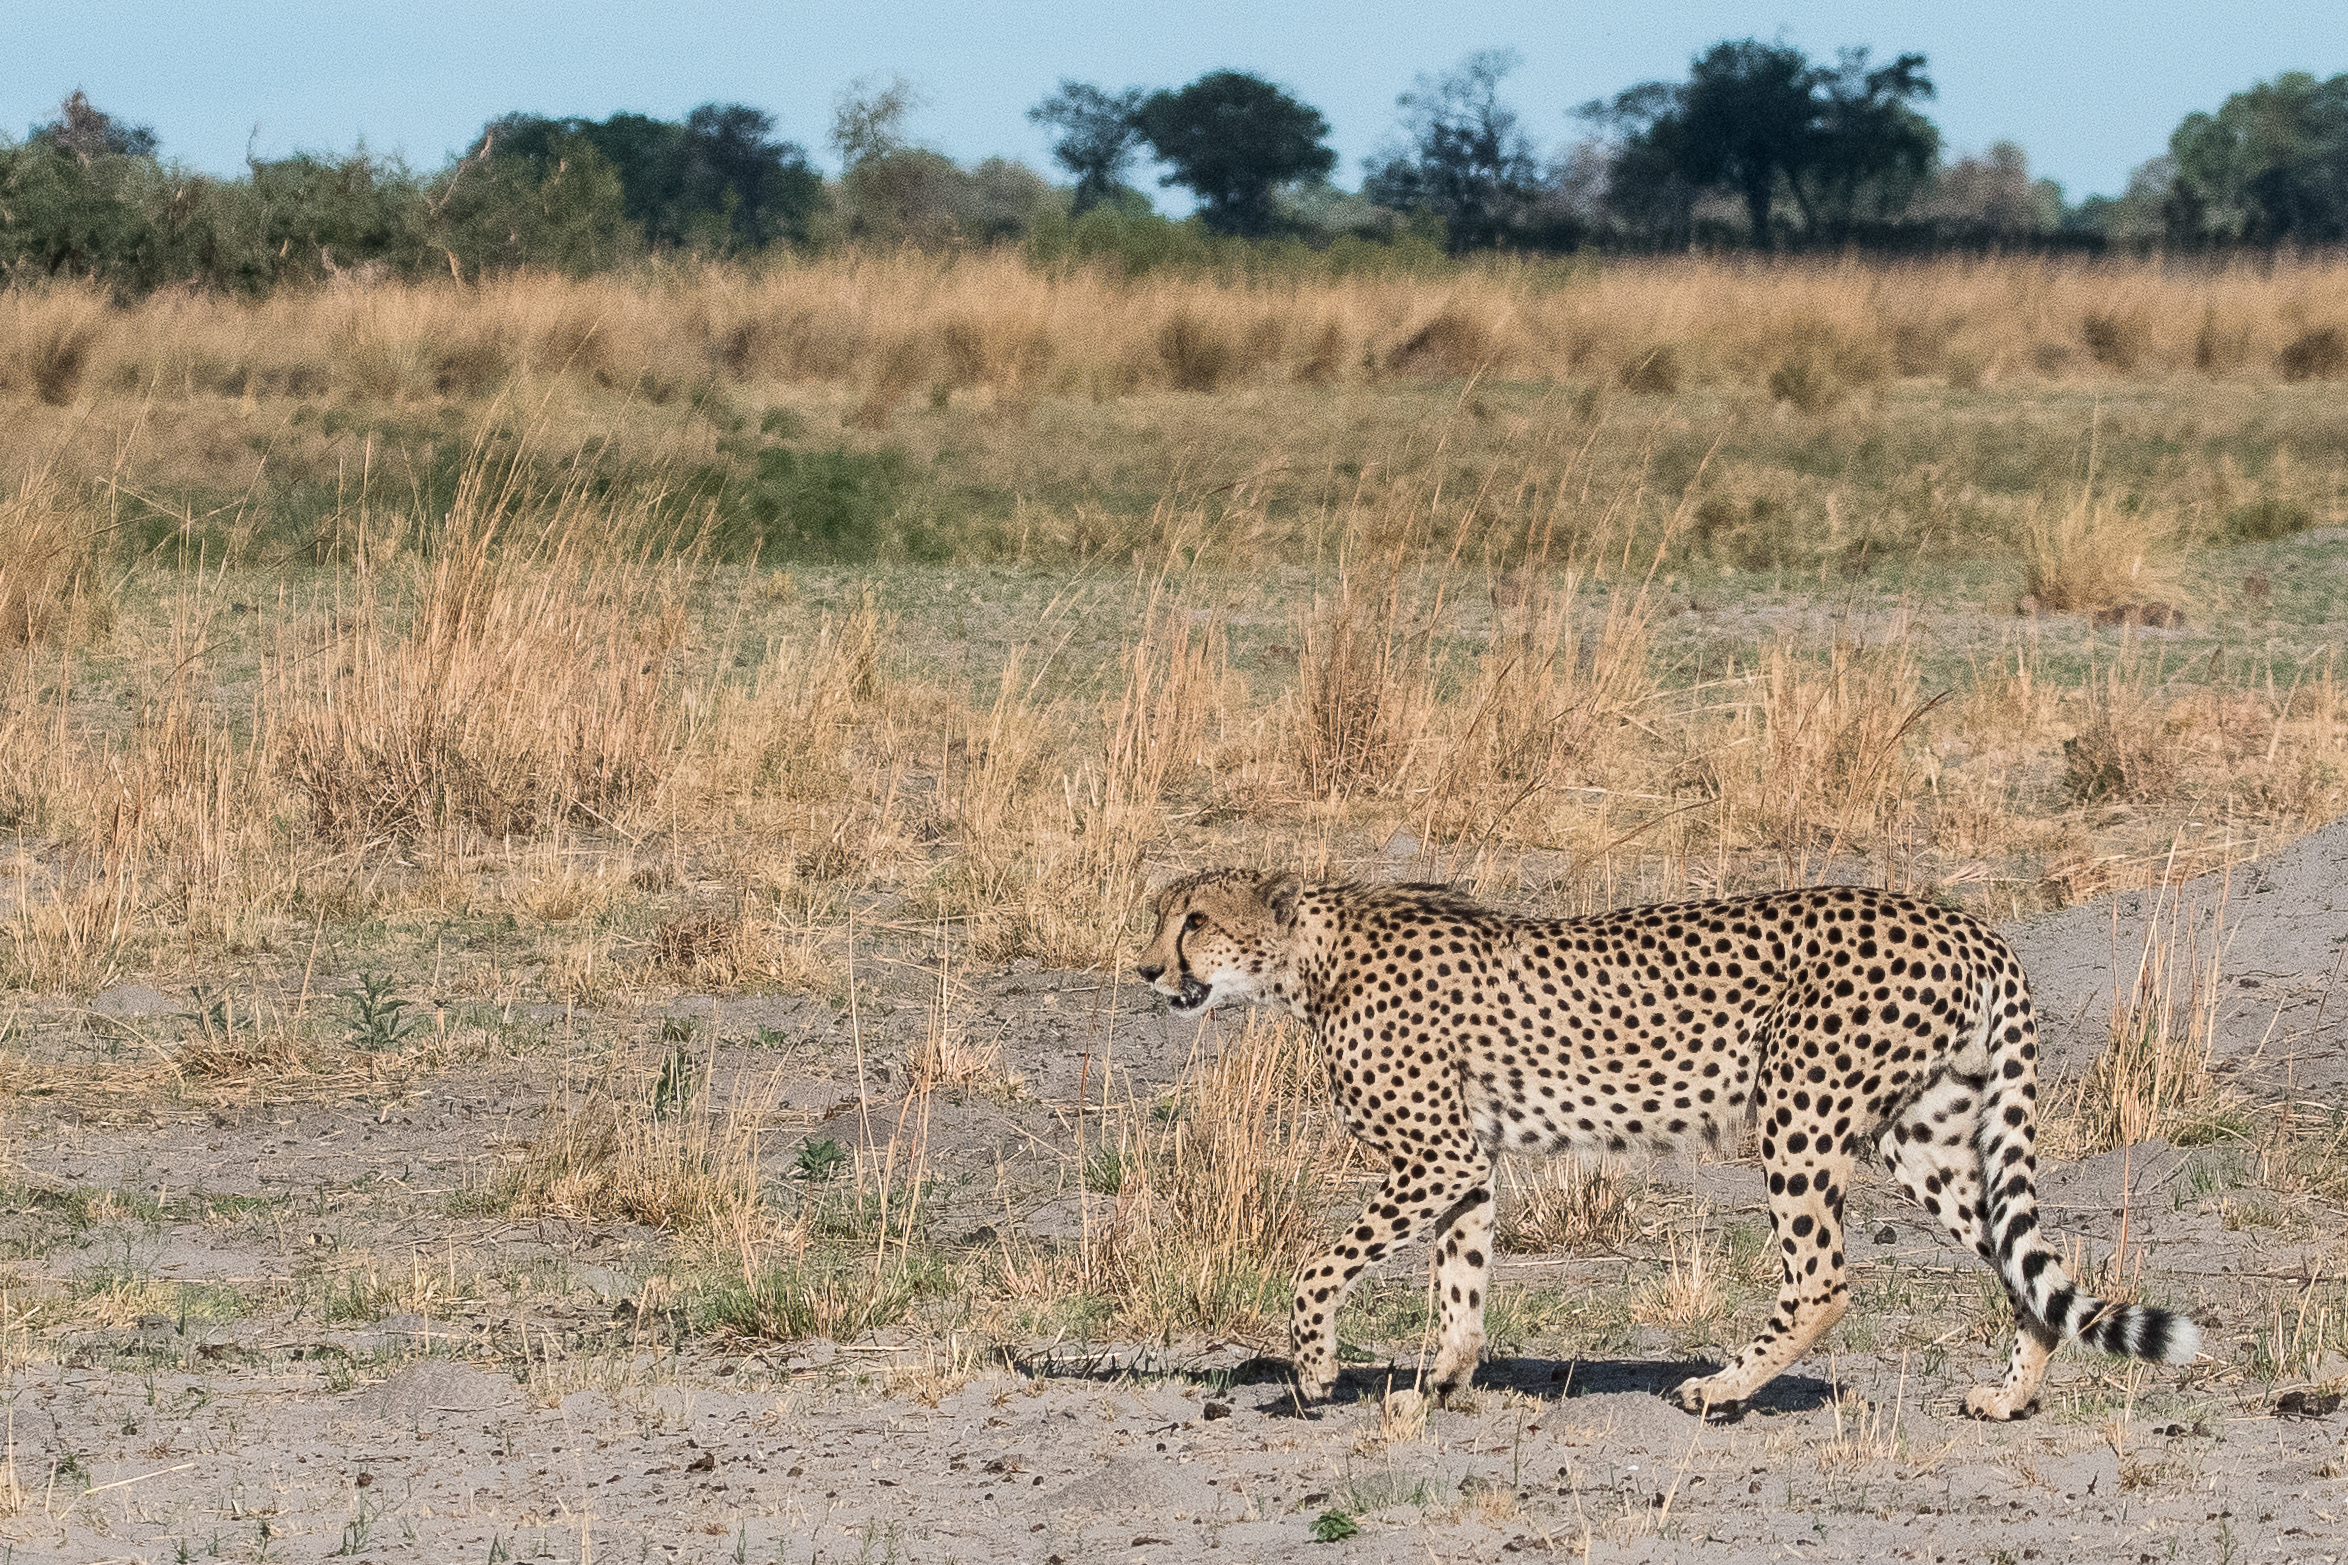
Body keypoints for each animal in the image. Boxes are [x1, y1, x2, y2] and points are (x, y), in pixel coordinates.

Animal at [1136, 877, 2197, 1426]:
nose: (1146, 968)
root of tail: (1964, 920)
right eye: (1161, 915)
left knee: (1824, 1279)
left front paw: (1315, 1372)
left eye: (1194, 919)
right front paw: (1440, 1379)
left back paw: (1719, 1386)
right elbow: (1460, 1278)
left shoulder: (1434, 1157)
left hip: (1798, 1110)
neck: (1306, 956)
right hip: (1920, 1134)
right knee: (2024, 1263)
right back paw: (2010, 1394)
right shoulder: (1466, 1164)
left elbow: (1317, 1266)